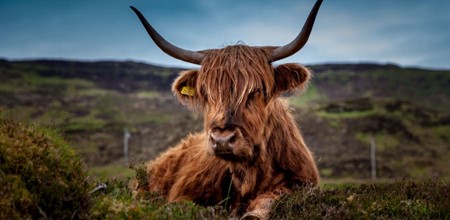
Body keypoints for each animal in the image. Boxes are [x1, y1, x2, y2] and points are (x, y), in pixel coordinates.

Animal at [130, 0, 324, 219]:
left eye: (256, 90)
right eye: (206, 92)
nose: (222, 139)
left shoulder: (301, 182)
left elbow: (272, 198)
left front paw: (254, 213)